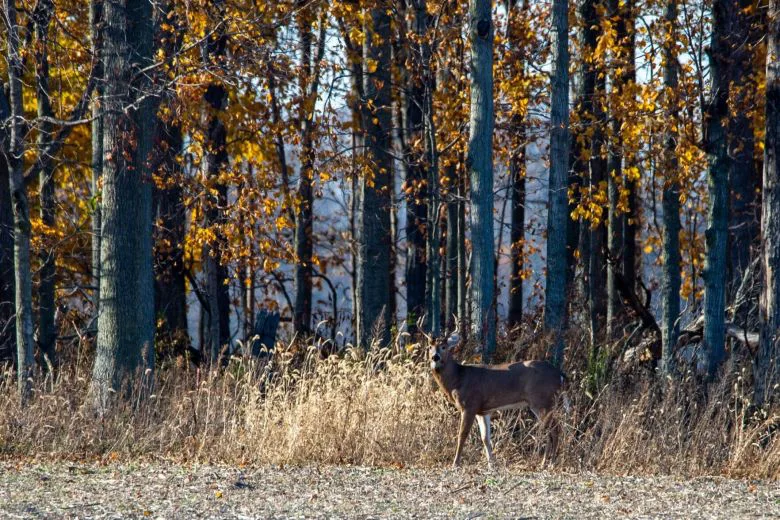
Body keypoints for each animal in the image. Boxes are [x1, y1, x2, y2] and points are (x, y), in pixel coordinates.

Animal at [427, 331, 567, 468]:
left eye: (444, 347)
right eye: (430, 347)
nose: (435, 357)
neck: (458, 378)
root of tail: (560, 375)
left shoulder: (469, 404)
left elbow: (462, 434)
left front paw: (455, 464)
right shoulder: (482, 411)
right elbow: (485, 437)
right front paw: (492, 464)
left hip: (542, 401)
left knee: (555, 429)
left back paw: (550, 463)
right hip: (544, 403)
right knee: (550, 430)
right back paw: (545, 463)